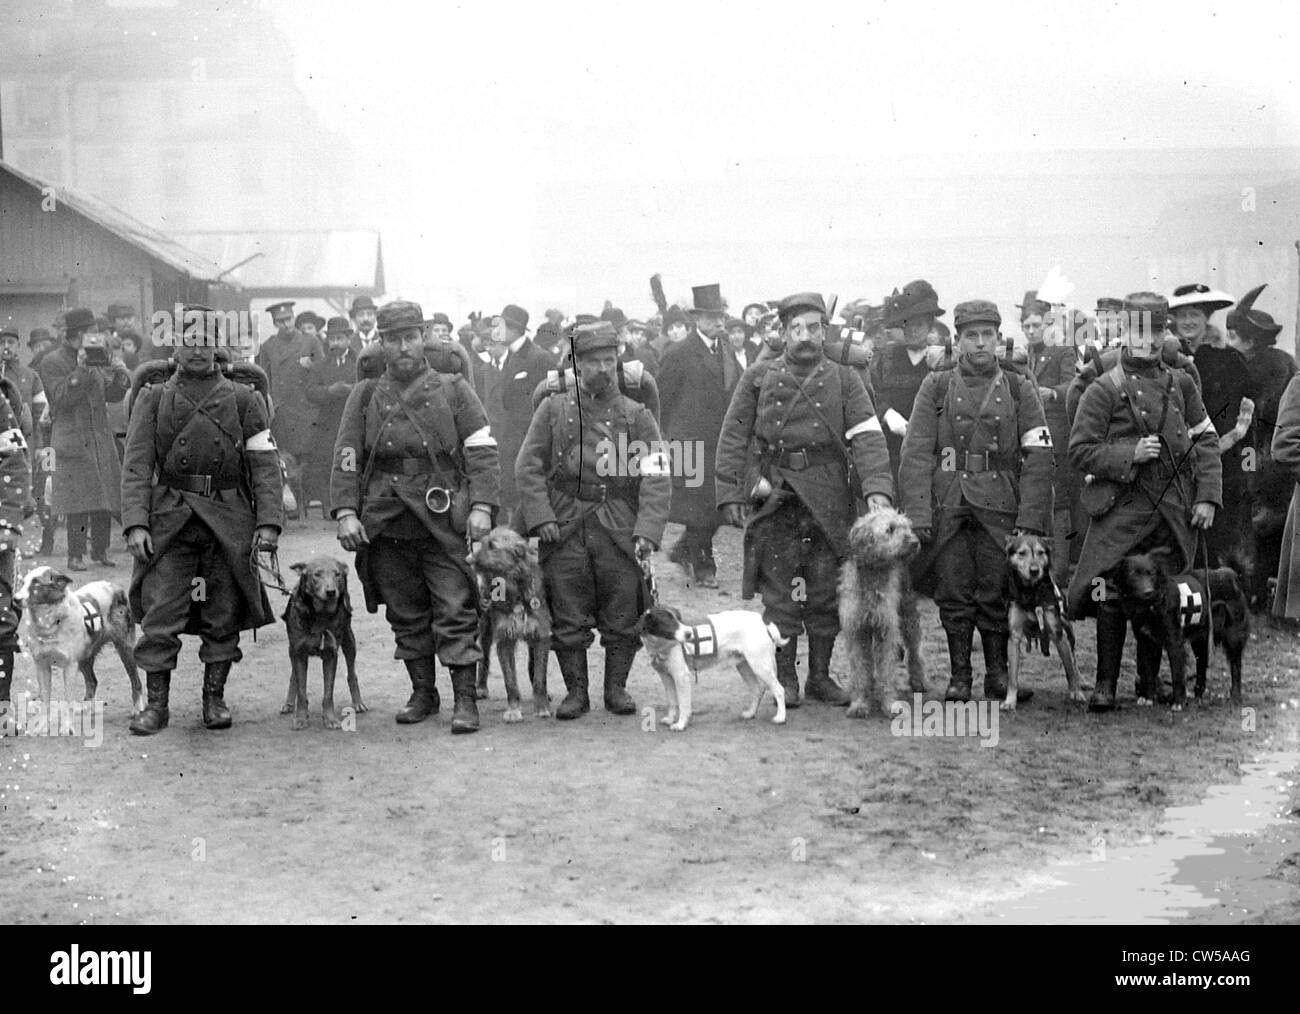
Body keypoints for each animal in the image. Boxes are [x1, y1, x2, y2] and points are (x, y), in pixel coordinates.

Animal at [13, 566, 143, 733]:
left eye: (36, 583)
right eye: (23, 582)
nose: (15, 599)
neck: (50, 623)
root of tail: (115, 587)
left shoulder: (69, 666)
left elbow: (68, 698)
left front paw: (67, 727)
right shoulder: (41, 666)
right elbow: (45, 700)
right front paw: (41, 726)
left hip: (125, 648)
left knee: (136, 680)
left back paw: (138, 709)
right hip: (85, 658)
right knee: (92, 681)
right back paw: (86, 708)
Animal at [279, 553, 366, 728]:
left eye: (337, 574)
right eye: (317, 575)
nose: (331, 591)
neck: (320, 615)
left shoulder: (330, 654)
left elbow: (328, 692)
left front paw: (330, 719)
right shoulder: (299, 652)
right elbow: (301, 689)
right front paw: (301, 718)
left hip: (349, 639)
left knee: (352, 672)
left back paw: (358, 703)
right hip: (291, 649)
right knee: (294, 676)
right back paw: (289, 703)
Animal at [467, 527, 548, 722]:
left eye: (492, 546)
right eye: (483, 542)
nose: (468, 559)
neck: (516, 591)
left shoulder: (540, 634)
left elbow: (539, 678)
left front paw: (542, 707)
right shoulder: (505, 639)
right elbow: (510, 681)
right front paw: (513, 710)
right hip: (486, 629)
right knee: (484, 658)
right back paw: (481, 687)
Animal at [637, 605, 785, 733]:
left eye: (678, 619)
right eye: (666, 621)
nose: (689, 634)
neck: (661, 646)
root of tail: (763, 623)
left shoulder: (681, 676)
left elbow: (683, 704)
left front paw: (680, 724)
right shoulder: (666, 677)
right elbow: (672, 702)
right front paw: (670, 719)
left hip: (760, 665)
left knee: (779, 690)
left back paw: (781, 718)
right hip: (744, 666)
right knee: (757, 689)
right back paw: (750, 713)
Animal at [1118, 551, 1248, 707]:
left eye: (1151, 573)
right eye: (1133, 574)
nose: (1148, 592)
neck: (1150, 606)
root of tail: (1232, 574)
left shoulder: (1174, 642)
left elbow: (1177, 674)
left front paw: (1178, 702)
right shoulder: (1147, 642)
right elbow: (1148, 673)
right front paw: (1148, 698)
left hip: (1233, 636)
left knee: (1236, 667)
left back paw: (1235, 696)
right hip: (1201, 639)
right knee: (1201, 665)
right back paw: (1198, 695)